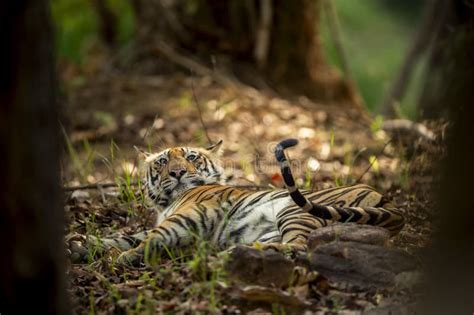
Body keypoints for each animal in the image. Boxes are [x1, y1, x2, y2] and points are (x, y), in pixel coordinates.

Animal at [68, 139, 406, 266]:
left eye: (192, 158)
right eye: (163, 162)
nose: (177, 172)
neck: (167, 202)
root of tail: (392, 205)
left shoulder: (190, 214)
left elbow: (149, 237)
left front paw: (120, 258)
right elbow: (124, 236)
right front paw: (80, 247)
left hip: (293, 209)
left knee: (299, 247)